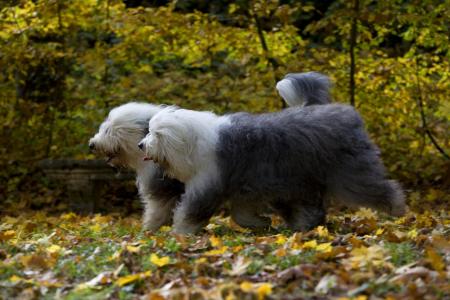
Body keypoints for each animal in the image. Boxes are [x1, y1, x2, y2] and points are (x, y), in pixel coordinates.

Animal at [139, 96, 406, 234]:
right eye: (149, 131)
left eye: (155, 134)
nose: (141, 145)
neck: (193, 141)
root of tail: (349, 115)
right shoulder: (246, 186)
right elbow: (242, 212)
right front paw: (261, 224)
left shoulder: (208, 183)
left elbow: (192, 210)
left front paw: (180, 232)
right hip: (303, 180)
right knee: (310, 208)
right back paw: (303, 226)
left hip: (349, 172)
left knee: (377, 188)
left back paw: (398, 210)